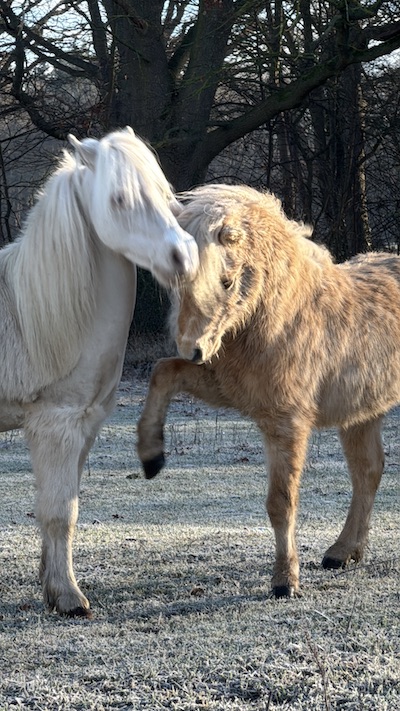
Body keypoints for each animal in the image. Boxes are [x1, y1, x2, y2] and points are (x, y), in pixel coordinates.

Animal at [0, 126, 198, 617]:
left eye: (164, 192)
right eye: (119, 199)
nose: (184, 256)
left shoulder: (86, 426)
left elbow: (62, 505)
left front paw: (52, 586)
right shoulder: (57, 426)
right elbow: (58, 512)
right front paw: (70, 598)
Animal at [137, 183, 400, 599]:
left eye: (226, 281)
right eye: (177, 283)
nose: (193, 349)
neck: (281, 316)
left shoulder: (285, 422)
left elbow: (281, 502)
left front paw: (284, 581)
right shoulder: (227, 387)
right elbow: (162, 372)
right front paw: (151, 457)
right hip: (362, 413)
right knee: (368, 472)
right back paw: (343, 552)